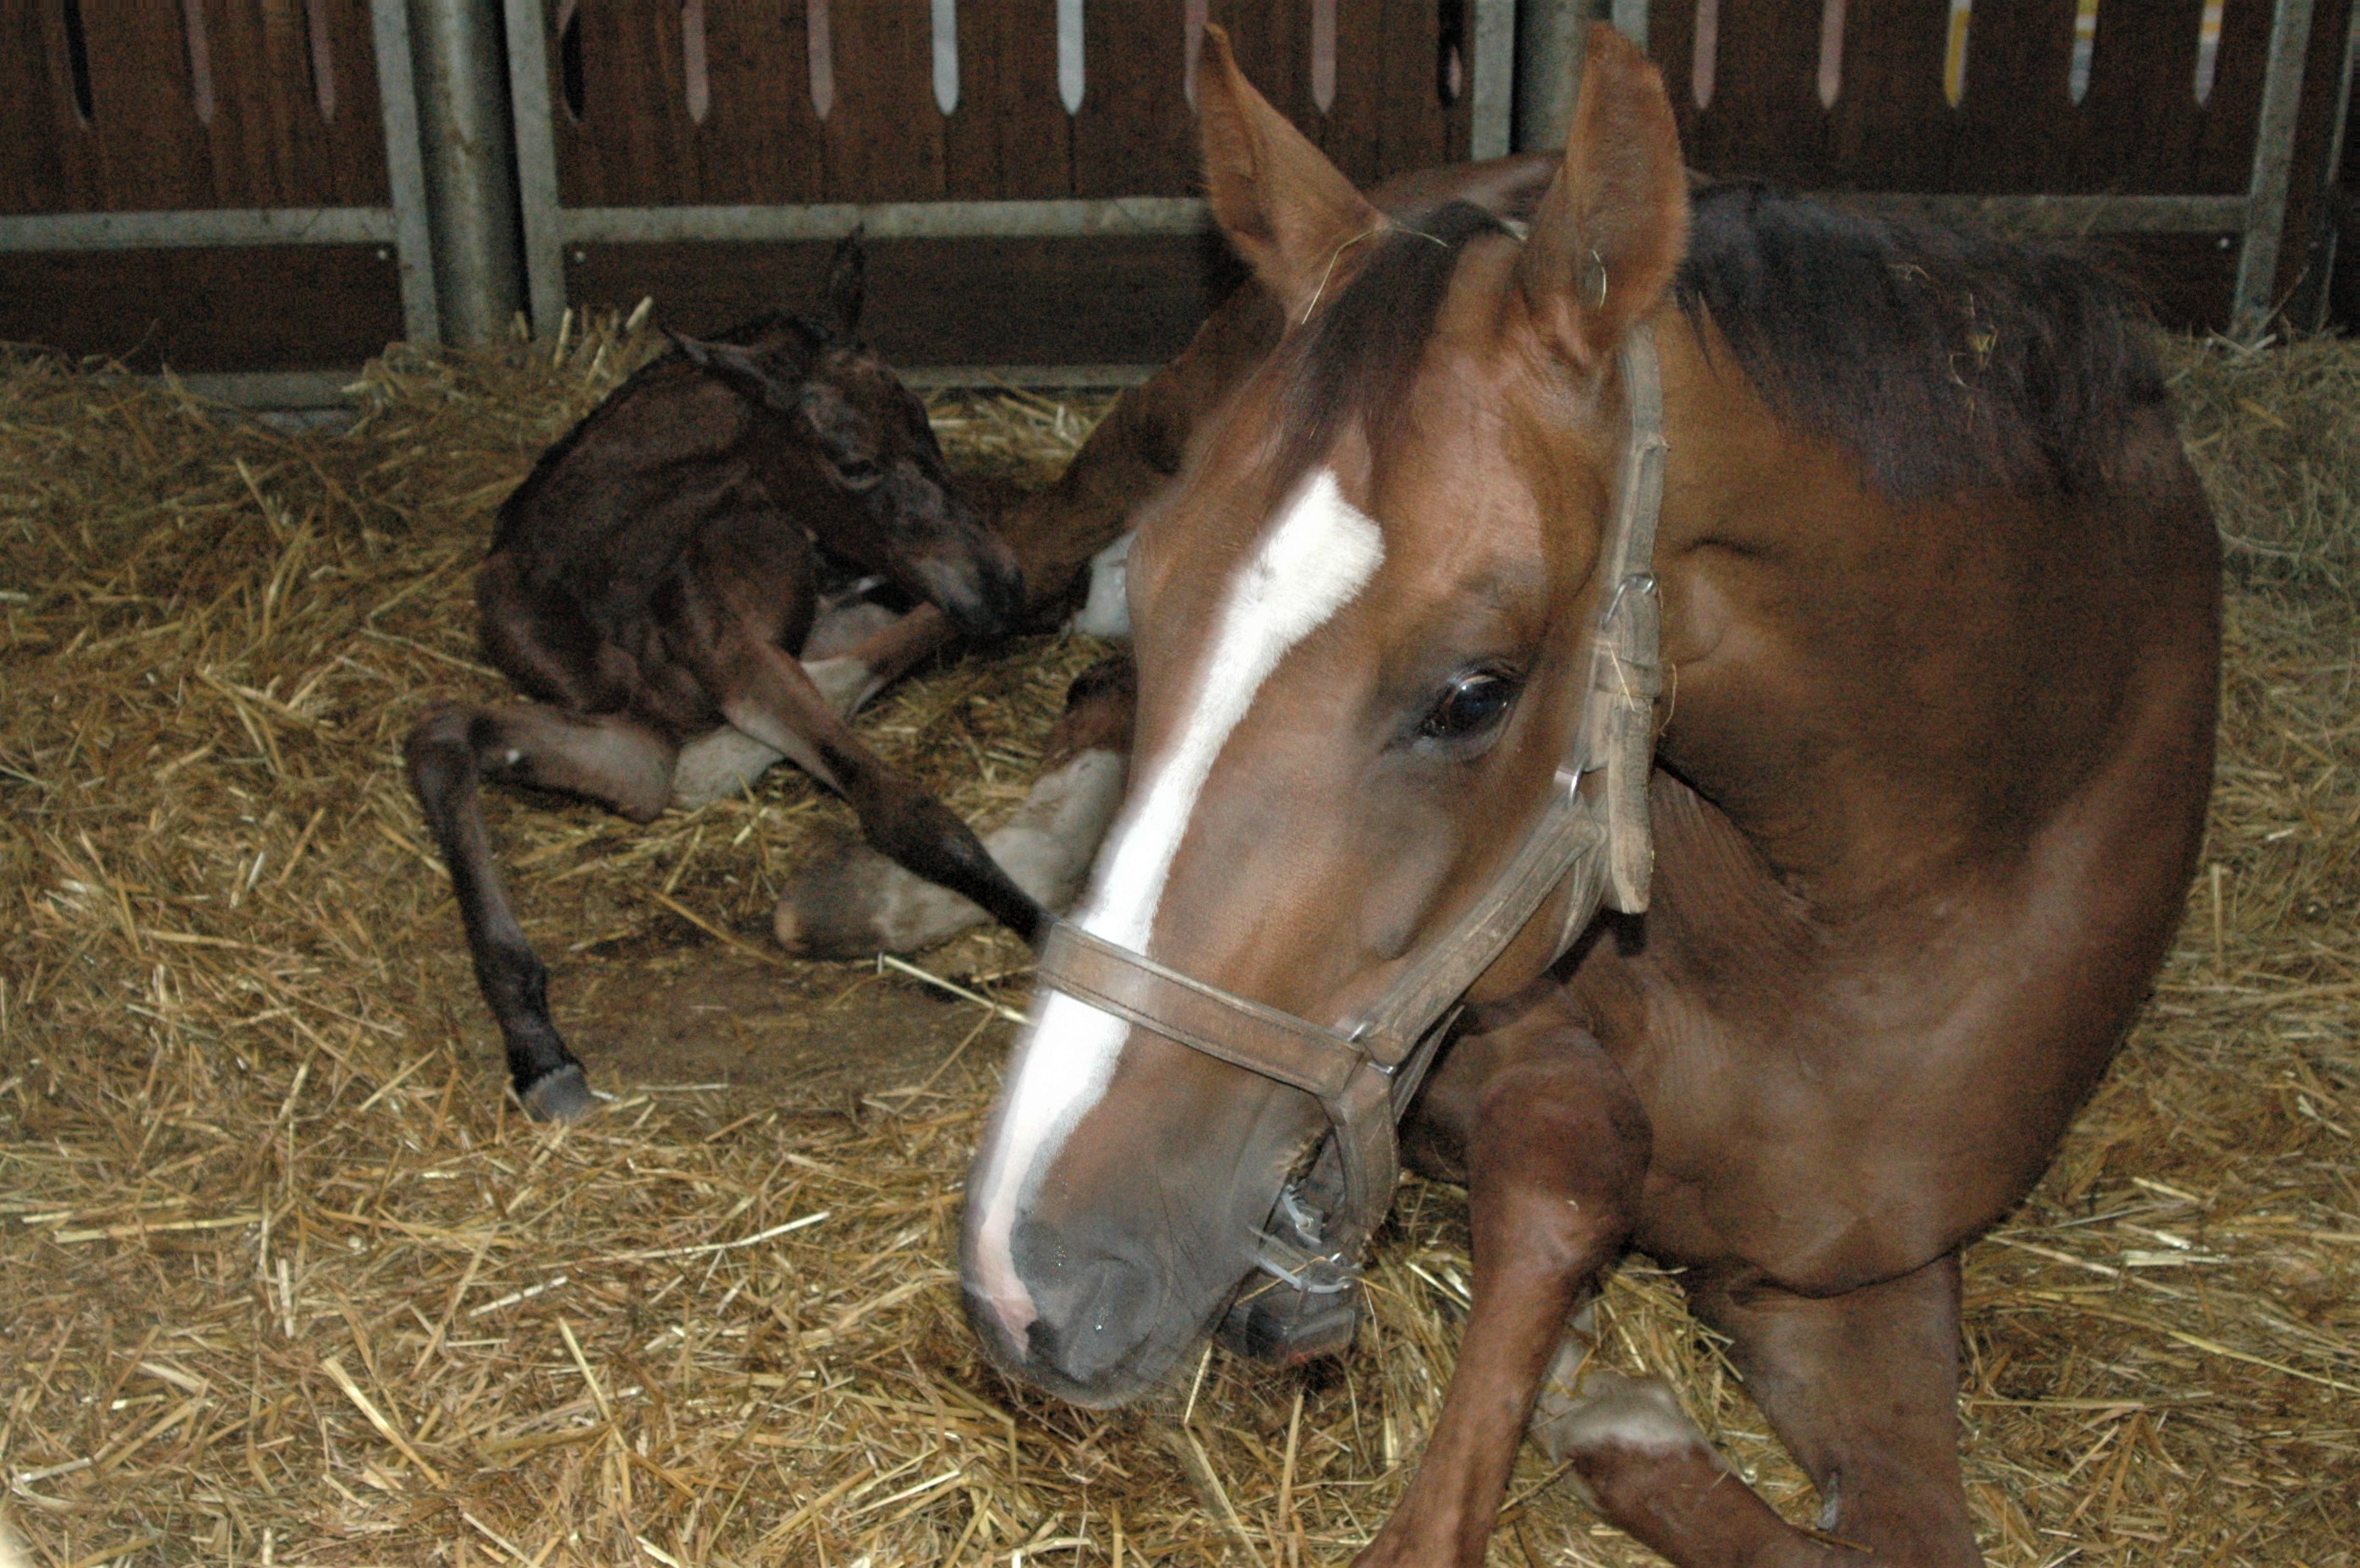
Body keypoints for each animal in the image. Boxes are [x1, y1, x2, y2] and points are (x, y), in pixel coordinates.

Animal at [405, 235, 1043, 1112]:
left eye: (927, 426)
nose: (1004, 584)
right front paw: (538, 1050)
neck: (600, 584)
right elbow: (442, 738)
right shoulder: (635, 748)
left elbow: (908, 811)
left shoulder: (742, 656)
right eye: (853, 462)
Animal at [953, 27, 2209, 1565]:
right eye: (1172, 589)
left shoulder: (1852, 1279)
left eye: (1473, 693)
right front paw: (1601, 1400)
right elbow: (1574, 1174)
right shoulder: (1512, 1052)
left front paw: (1620, 1417)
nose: (1029, 1273)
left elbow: (1903, 1529)